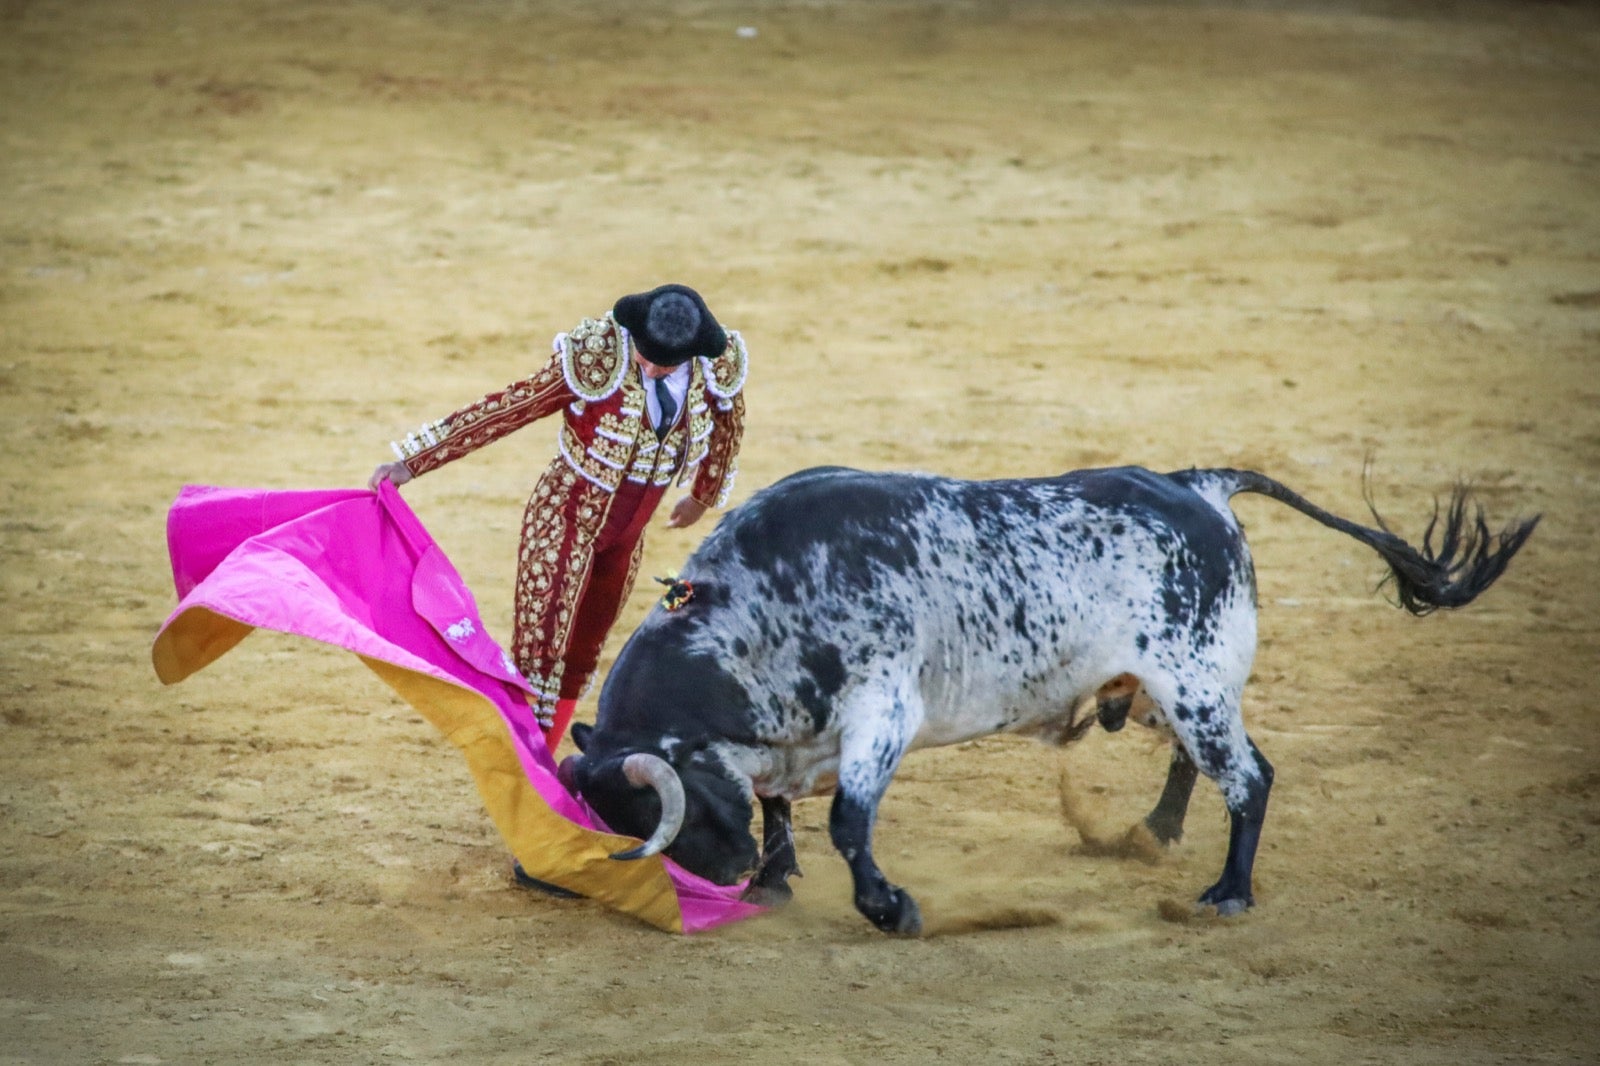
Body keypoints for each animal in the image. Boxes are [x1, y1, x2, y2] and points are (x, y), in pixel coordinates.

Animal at [560, 464, 1536, 928]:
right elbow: (777, 805)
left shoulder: (884, 710)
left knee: (1251, 777)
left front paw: (889, 909)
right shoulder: (790, 741)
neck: (755, 609)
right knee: (1200, 762)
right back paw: (1155, 833)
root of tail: (1197, 484)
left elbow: (847, 820)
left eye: (675, 816)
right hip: (1166, 690)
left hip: (1195, 681)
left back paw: (1227, 892)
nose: (717, 877)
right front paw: (772, 876)